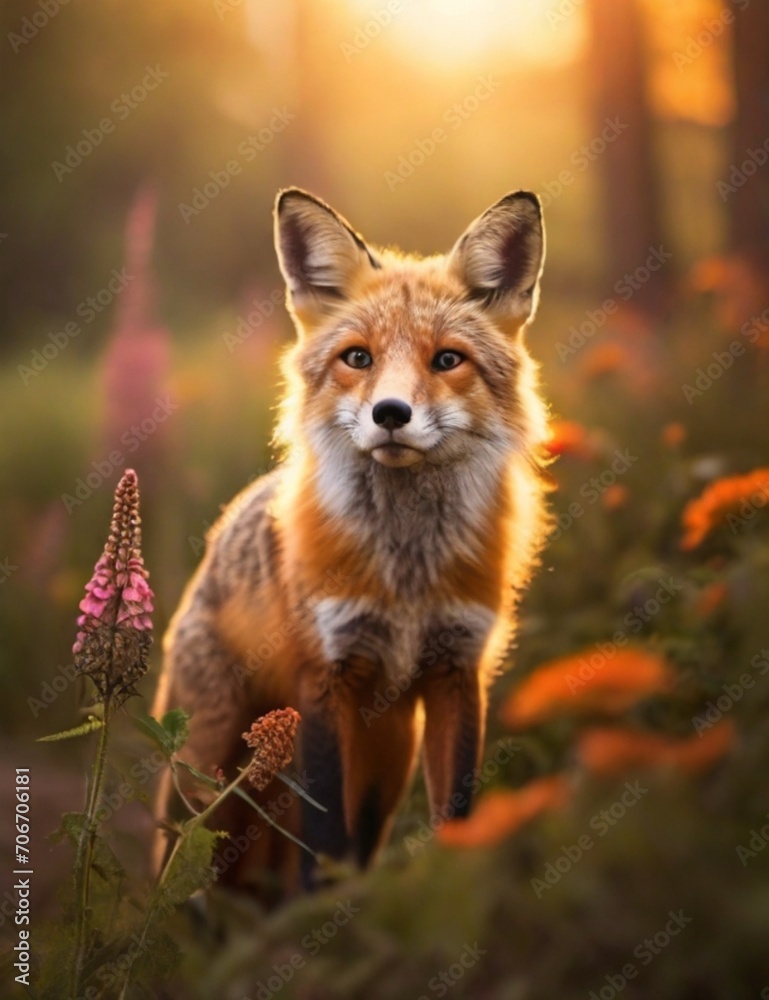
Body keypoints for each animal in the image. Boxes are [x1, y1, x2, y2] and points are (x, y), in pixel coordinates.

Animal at [152, 187, 551, 898]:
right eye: (358, 358)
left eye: (447, 359)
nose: (390, 413)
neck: (407, 571)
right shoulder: (324, 677)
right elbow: (322, 841)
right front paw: (317, 917)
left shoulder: (458, 672)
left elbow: (455, 812)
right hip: (208, 771)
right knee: (184, 874)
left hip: (386, 763)